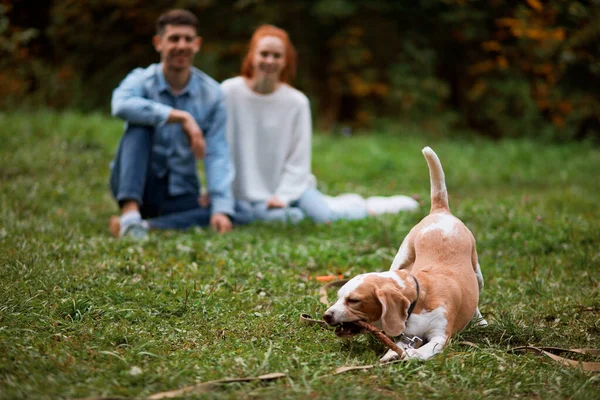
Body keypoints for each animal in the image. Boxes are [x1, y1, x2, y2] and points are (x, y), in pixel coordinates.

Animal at [324, 148, 488, 362]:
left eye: (354, 301)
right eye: (337, 298)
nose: (326, 315)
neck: (419, 297)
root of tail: (441, 212)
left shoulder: (440, 335)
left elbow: (424, 350)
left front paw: (413, 355)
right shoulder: (407, 335)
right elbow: (400, 345)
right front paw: (391, 355)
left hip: (477, 274)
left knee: (476, 296)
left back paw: (480, 321)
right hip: (400, 258)